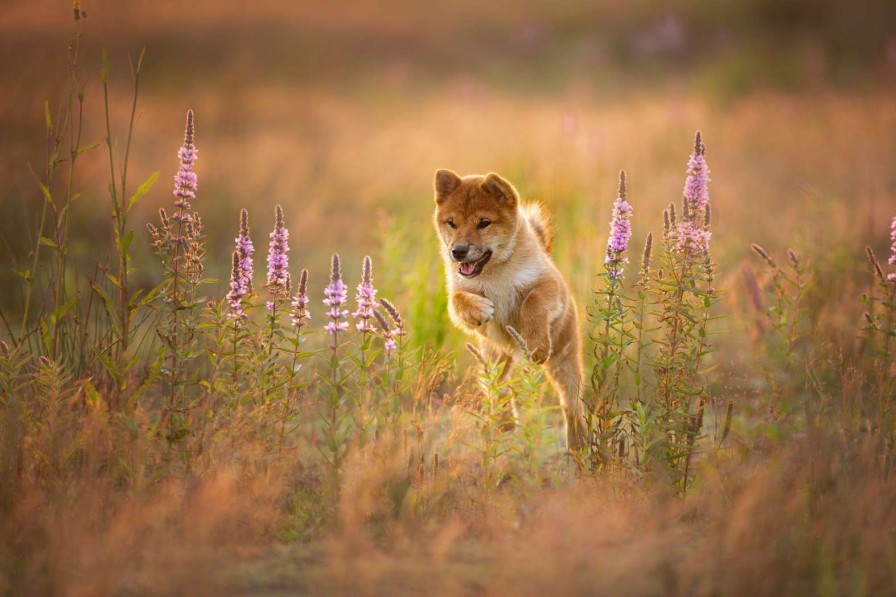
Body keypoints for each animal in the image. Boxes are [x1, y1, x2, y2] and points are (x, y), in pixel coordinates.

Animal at [434, 170, 588, 450]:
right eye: (452, 223)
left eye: (483, 223)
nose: (458, 251)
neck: (495, 274)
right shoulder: (458, 290)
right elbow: (459, 300)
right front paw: (480, 310)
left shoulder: (549, 285)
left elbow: (532, 301)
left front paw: (536, 346)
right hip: (494, 357)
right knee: (498, 386)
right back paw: (505, 423)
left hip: (564, 359)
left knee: (570, 402)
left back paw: (578, 441)